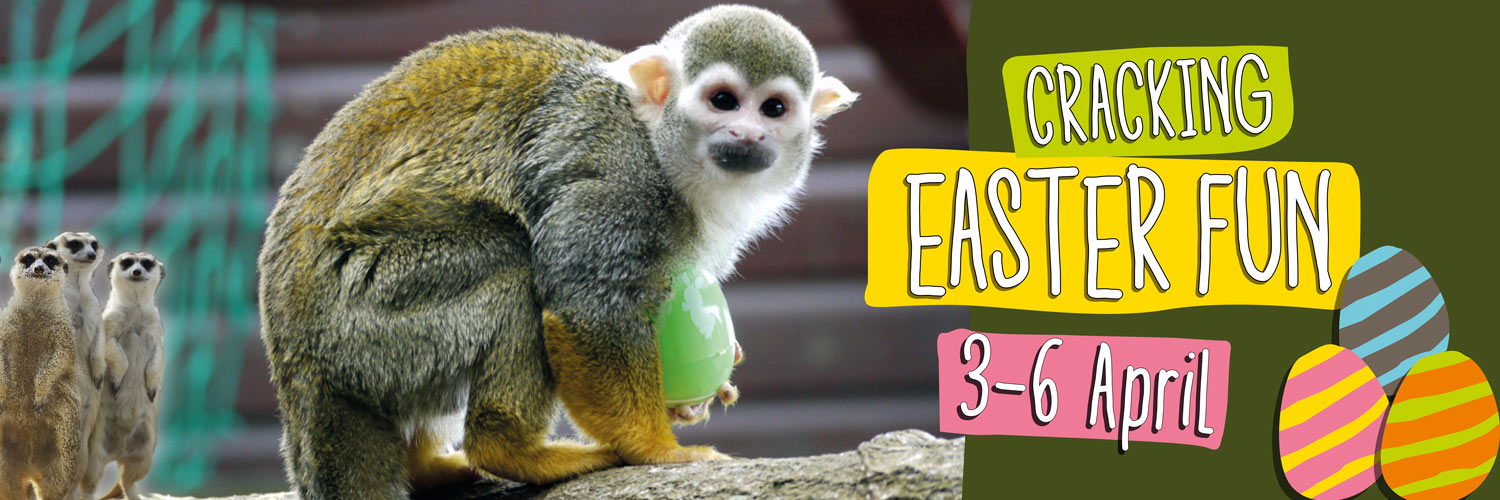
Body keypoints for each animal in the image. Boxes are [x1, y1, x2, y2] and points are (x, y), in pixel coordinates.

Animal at [0, 247, 79, 500]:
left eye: (50, 260)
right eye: (28, 259)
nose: (38, 269)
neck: (35, 309)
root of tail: (30, 468)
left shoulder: (64, 333)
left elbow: (60, 358)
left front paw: (40, 392)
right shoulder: (5, 324)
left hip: (64, 443)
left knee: (58, 480)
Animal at [85, 252, 166, 500]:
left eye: (147, 263)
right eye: (127, 262)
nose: (137, 272)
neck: (136, 309)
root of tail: (118, 454)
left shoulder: (156, 327)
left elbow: (159, 355)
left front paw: (152, 386)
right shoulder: (109, 322)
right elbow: (112, 349)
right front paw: (118, 378)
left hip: (146, 448)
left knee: (129, 475)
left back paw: (134, 493)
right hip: (95, 447)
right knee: (90, 477)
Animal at [257, 5, 856, 497]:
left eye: (774, 108)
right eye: (724, 101)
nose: (748, 134)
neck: (660, 147)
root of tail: (296, 367)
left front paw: (692, 399)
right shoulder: (618, 173)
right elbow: (585, 304)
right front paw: (656, 448)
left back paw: (426, 464)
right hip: (364, 322)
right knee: (514, 265)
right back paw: (511, 450)